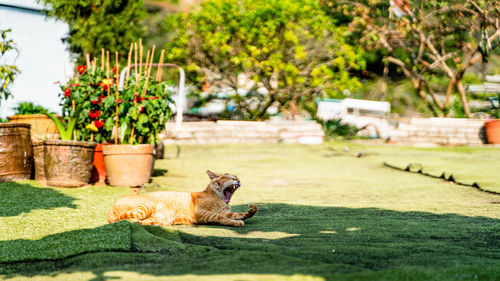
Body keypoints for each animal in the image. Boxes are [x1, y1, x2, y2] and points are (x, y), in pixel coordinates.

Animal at [108, 168, 258, 225]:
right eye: (230, 177)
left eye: (236, 177)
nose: (238, 180)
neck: (220, 200)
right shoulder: (202, 212)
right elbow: (220, 217)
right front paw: (235, 223)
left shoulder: (226, 212)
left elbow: (238, 214)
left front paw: (251, 210)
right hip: (146, 206)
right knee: (124, 220)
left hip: (158, 219)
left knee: (139, 222)